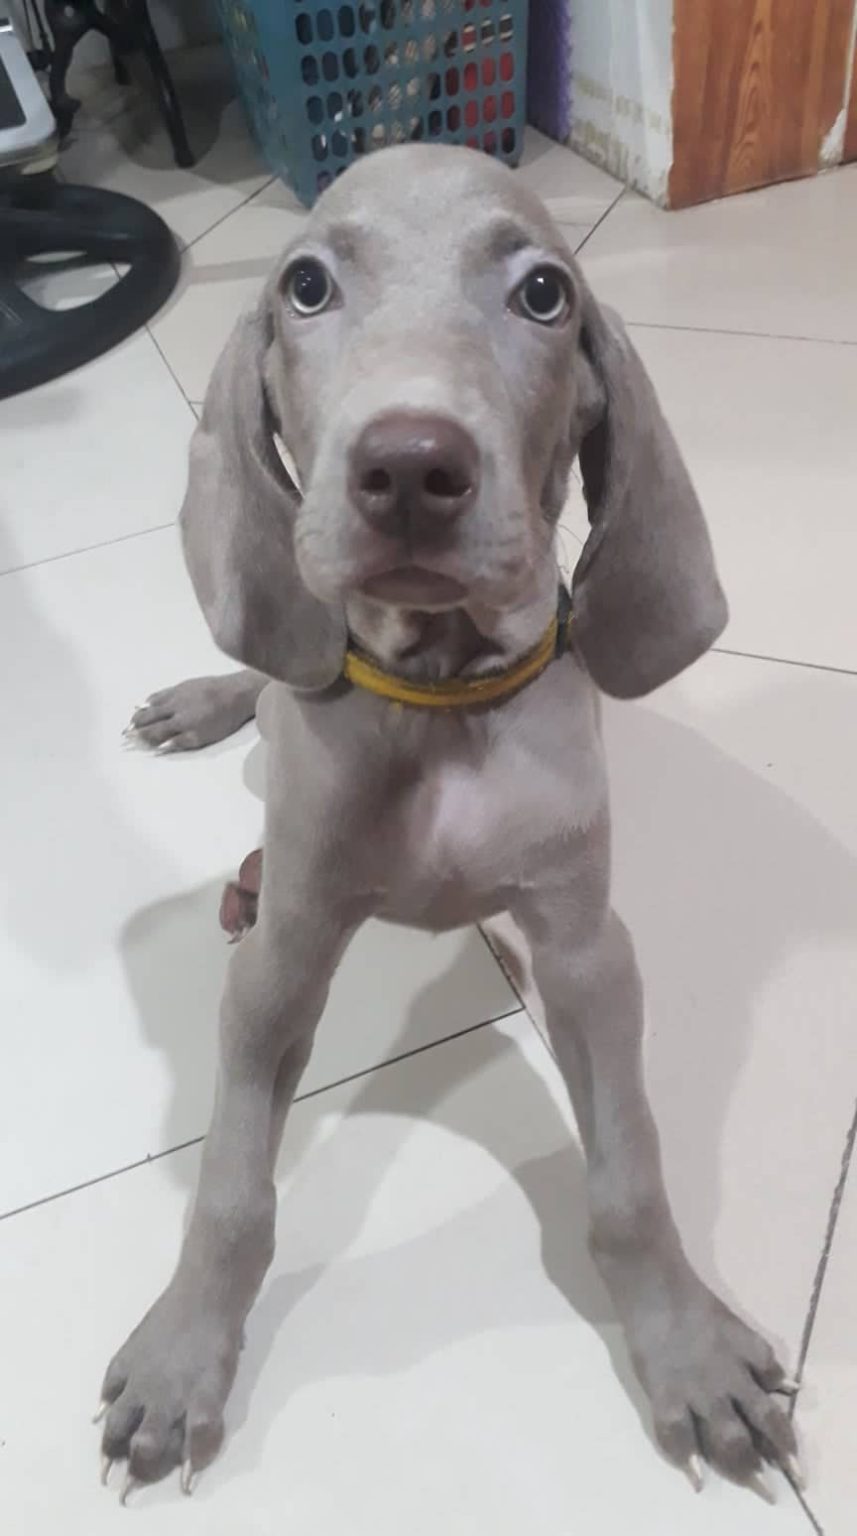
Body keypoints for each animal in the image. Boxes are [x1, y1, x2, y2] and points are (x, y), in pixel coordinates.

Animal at [102, 144, 800, 1501]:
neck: (439, 694)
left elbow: (629, 1174)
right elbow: (230, 1188)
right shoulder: (280, 967)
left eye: (542, 295)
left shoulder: (587, 952)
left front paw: (686, 1349)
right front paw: (183, 1350)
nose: (412, 466)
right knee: (270, 670)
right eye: (305, 285)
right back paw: (211, 711)